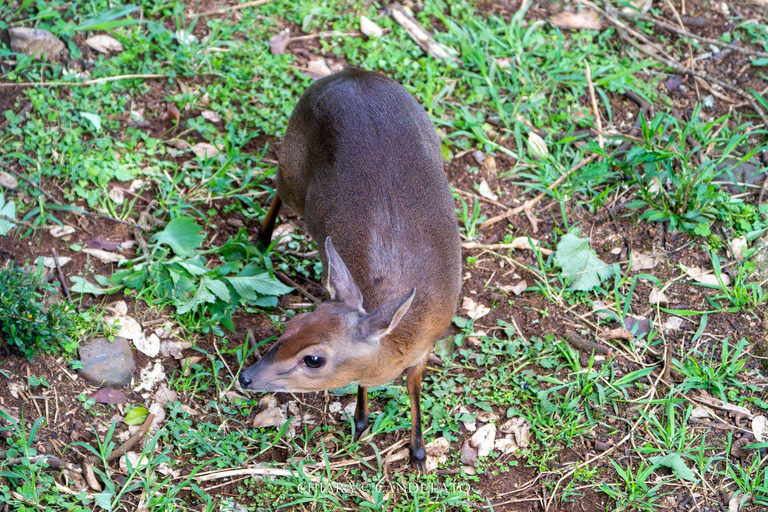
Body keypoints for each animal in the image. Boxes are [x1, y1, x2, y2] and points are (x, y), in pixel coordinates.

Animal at [237, 68, 460, 472]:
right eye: (289, 327)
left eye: (314, 359)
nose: (246, 377)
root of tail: (351, 72)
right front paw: (360, 422)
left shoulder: (426, 346)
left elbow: (413, 387)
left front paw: (418, 451)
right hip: (293, 165)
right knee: (278, 189)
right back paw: (261, 239)